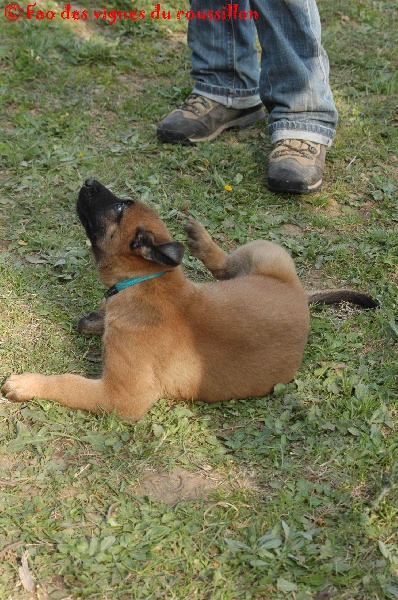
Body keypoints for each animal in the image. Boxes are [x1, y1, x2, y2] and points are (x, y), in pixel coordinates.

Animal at [0, 180, 378, 420]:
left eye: (119, 206)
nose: (90, 179)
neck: (148, 281)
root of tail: (300, 296)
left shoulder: (120, 397)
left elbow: (69, 383)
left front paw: (28, 384)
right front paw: (97, 318)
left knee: (225, 267)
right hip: (267, 250)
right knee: (227, 268)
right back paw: (201, 240)